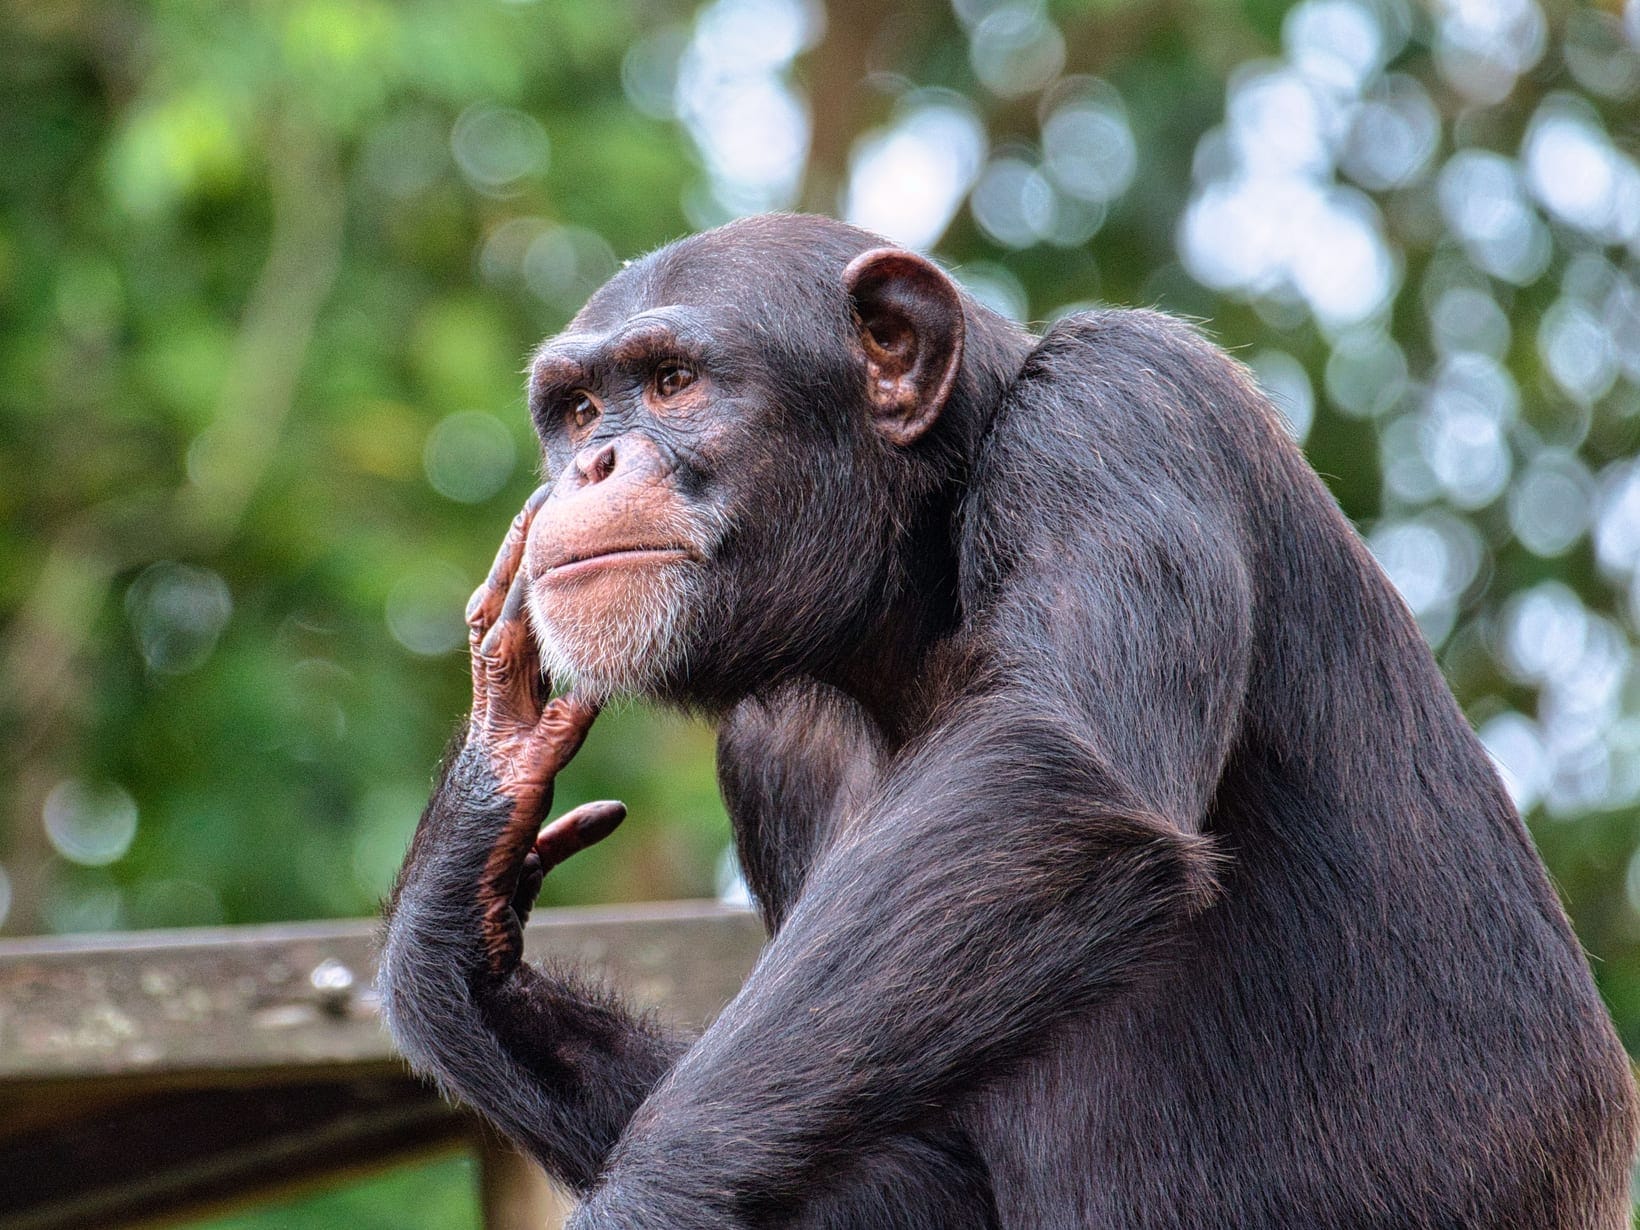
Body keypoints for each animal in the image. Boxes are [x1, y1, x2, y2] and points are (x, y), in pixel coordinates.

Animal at [379, 213, 1638, 1227]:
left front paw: (648, 1200)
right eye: (580, 404)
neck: (912, 589)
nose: (591, 460)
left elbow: (1047, 779)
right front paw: (465, 891)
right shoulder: (768, 752)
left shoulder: (1119, 409)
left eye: (675, 380)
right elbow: (905, 1164)